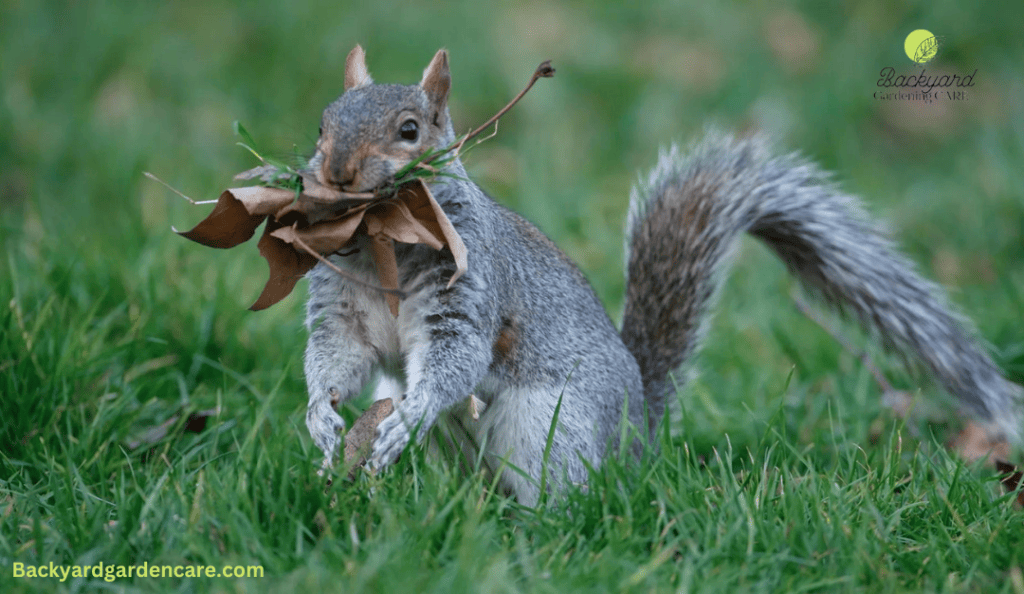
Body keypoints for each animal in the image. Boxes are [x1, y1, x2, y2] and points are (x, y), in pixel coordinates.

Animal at [299, 45, 1019, 505]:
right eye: (322, 123)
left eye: (410, 130)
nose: (335, 173)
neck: (384, 245)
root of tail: (638, 432)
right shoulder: (342, 309)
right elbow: (338, 358)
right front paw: (322, 420)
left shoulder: (469, 289)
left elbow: (457, 359)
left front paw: (407, 415)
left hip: (552, 430)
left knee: (558, 493)